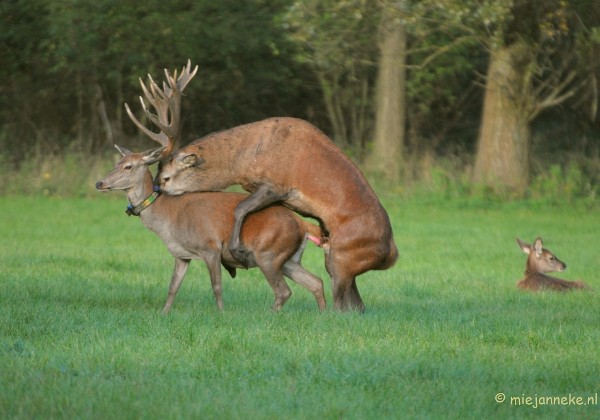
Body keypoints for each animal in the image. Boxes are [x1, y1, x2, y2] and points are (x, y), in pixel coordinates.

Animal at [96, 144, 326, 312]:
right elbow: (173, 287)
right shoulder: (181, 254)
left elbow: (217, 287)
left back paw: (269, 315)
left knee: (284, 291)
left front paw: (221, 314)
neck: (167, 218)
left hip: (268, 252)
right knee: (316, 282)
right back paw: (324, 315)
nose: (99, 183)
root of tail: (302, 223)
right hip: (288, 259)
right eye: (117, 163)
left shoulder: (210, 247)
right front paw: (163, 313)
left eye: (128, 166)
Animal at [127, 59, 398, 310]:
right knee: (356, 305)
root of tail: (392, 255)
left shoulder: (277, 184)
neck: (246, 158)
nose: (154, 193)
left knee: (342, 304)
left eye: (165, 178)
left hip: (342, 256)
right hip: (340, 258)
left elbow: (241, 209)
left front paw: (237, 252)